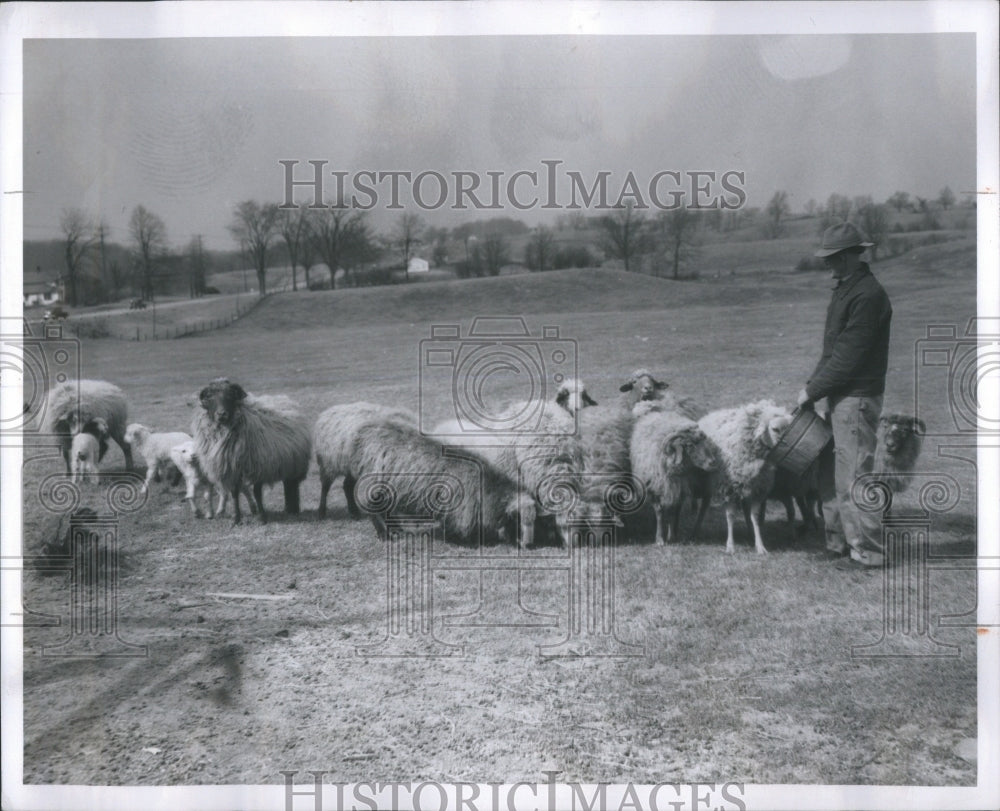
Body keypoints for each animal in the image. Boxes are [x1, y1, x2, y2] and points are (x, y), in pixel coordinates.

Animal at [189, 378, 310, 524]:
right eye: (210, 397)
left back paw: (292, 509)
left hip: (294, 464)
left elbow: (257, 492)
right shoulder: (232, 469)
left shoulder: (259, 467)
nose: (221, 414)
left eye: (230, 395)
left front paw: (262, 517)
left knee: (291, 485)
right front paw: (236, 519)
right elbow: (235, 493)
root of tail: (284, 398)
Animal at [352, 418, 540, 544]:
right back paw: (384, 536)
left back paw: (396, 530)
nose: (527, 544)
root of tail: (366, 432)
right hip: (373, 485)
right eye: (517, 520)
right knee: (373, 510)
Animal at [632, 412, 720, 544]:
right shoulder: (654, 488)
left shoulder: (679, 488)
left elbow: (674, 512)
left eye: (705, 442)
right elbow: (659, 512)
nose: (713, 463)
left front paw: (672, 535)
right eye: (690, 445)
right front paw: (659, 539)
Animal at [696, 402, 796, 556]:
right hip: (711, 482)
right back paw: (697, 528)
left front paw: (760, 545)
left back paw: (749, 532)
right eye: (775, 429)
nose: (788, 446)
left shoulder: (757, 490)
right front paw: (730, 546)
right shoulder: (728, 489)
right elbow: (730, 517)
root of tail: (711, 414)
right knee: (705, 505)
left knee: (745, 509)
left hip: (745, 485)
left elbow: (755, 517)